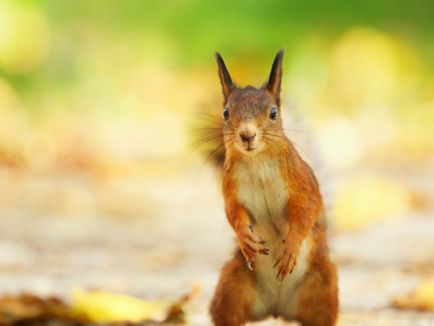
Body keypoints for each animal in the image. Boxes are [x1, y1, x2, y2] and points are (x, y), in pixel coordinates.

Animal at [207, 49, 340, 324]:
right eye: (225, 112)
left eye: (273, 113)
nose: (247, 135)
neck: (257, 161)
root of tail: (278, 308)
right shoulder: (231, 189)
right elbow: (233, 213)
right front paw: (245, 238)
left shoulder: (301, 182)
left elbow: (307, 210)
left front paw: (290, 248)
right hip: (232, 283)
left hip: (323, 284)